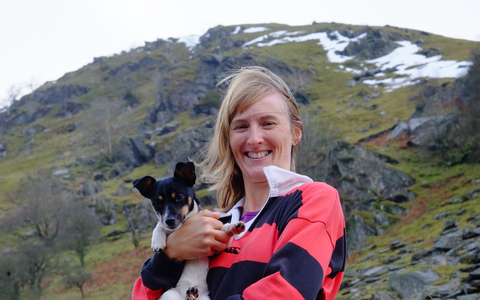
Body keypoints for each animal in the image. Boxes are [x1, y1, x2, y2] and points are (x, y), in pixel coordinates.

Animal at [133, 162, 246, 300]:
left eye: (179, 197)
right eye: (157, 203)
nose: (169, 221)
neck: (186, 222)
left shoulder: (215, 249)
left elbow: (223, 228)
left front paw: (233, 226)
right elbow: (159, 226)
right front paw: (157, 241)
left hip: (205, 298)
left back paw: (192, 294)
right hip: (170, 295)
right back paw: (190, 294)